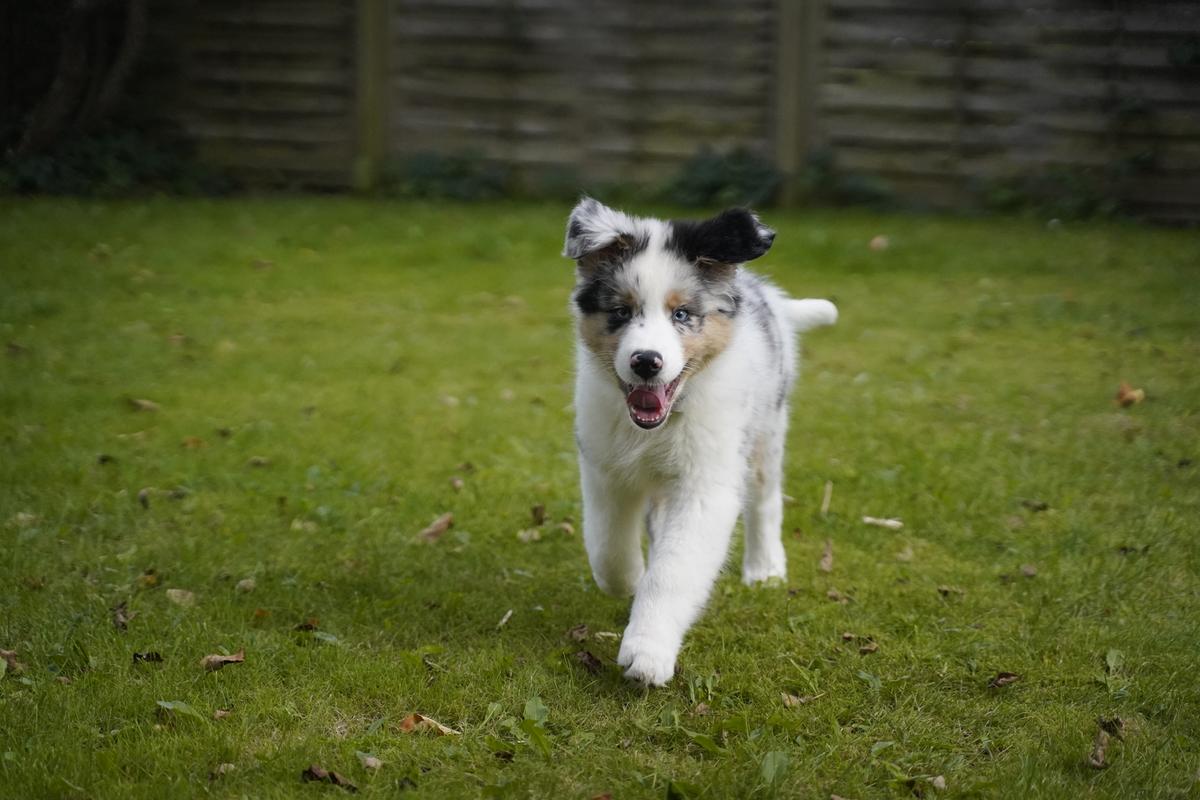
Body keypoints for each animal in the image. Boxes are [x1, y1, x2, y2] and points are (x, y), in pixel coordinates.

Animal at [561, 196, 835, 686]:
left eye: (682, 315)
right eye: (621, 312)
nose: (647, 362)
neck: (659, 426)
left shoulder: (706, 483)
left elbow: (675, 569)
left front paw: (647, 651)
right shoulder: (605, 469)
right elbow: (608, 549)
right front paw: (630, 580)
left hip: (766, 431)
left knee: (766, 501)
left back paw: (765, 568)